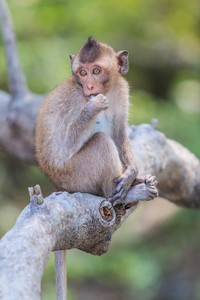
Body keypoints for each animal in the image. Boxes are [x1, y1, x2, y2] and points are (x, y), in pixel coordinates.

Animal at [34, 36, 158, 298]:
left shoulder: (122, 90)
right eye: (82, 72)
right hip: (76, 176)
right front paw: (91, 109)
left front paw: (132, 173)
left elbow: (120, 134)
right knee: (101, 143)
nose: (90, 87)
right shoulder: (75, 102)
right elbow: (64, 147)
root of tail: (59, 185)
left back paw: (134, 183)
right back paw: (128, 193)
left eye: (96, 71)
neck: (107, 91)